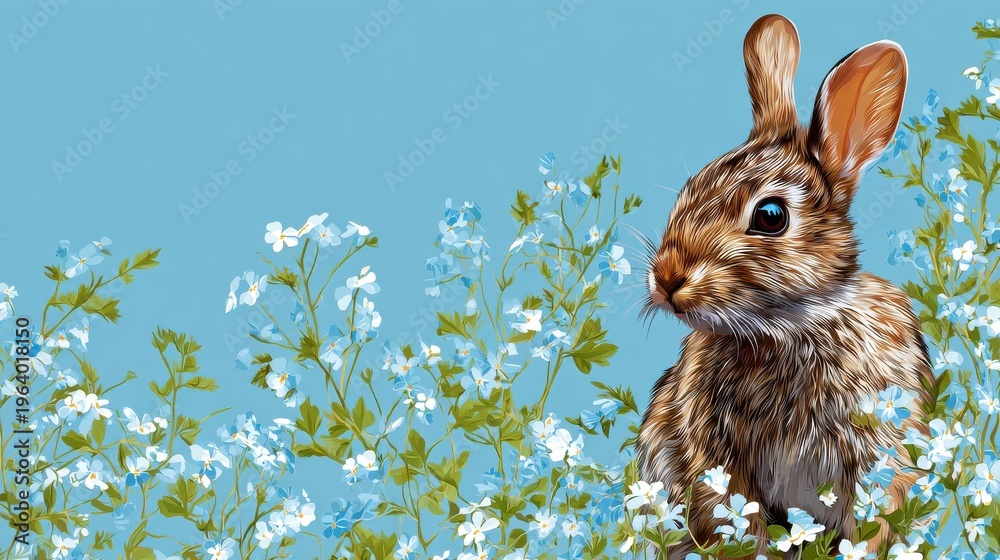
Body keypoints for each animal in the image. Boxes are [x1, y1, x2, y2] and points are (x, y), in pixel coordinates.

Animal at [636, 13, 933, 560]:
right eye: (689, 189)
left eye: (770, 216)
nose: (666, 280)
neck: (792, 324)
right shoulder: (715, 461)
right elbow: (736, 522)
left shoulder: (882, 452)